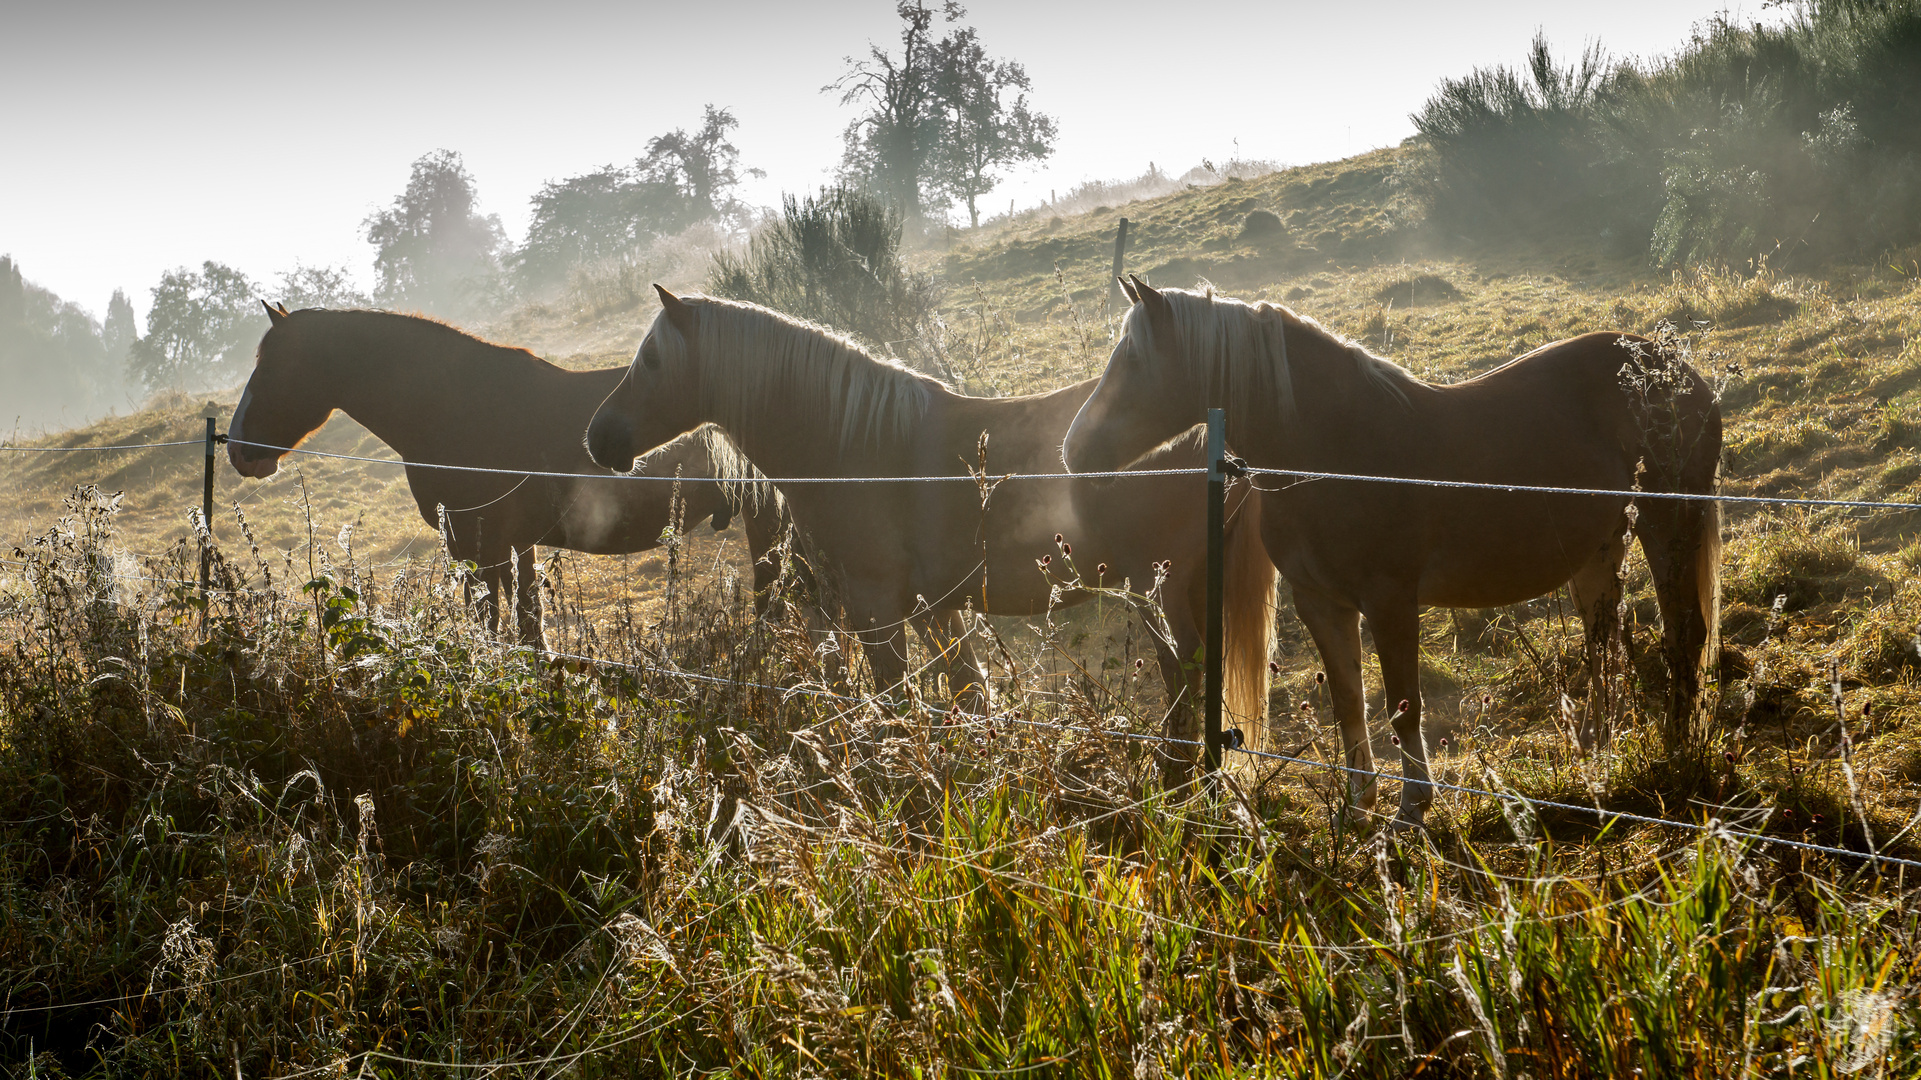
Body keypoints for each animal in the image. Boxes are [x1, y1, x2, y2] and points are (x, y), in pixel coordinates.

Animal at [228, 303, 783, 638]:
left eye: (274, 368)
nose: (236, 450)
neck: (461, 407)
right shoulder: (514, 544)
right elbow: (528, 627)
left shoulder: (480, 545)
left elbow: (492, 627)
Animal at [583, 284, 1275, 757]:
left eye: (651, 361)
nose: (599, 438)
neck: (853, 445)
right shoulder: (934, 608)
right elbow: (970, 695)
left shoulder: (875, 607)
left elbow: (895, 702)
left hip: (1161, 593)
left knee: (1186, 691)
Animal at [1068, 278, 1728, 822]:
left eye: (1133, 360)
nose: (1074, 451)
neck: (1333, 451)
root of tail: (1676, 371)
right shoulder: (1321, 603)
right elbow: (1348, 702)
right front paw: (1357, 807)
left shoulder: (1390, 601)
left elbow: (1401, 704)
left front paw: (1412, 806)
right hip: (1599, 549)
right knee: (1603, 648)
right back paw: (1596, 753)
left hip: (1669, 524)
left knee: (1684, 632)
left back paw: (1677, 751)